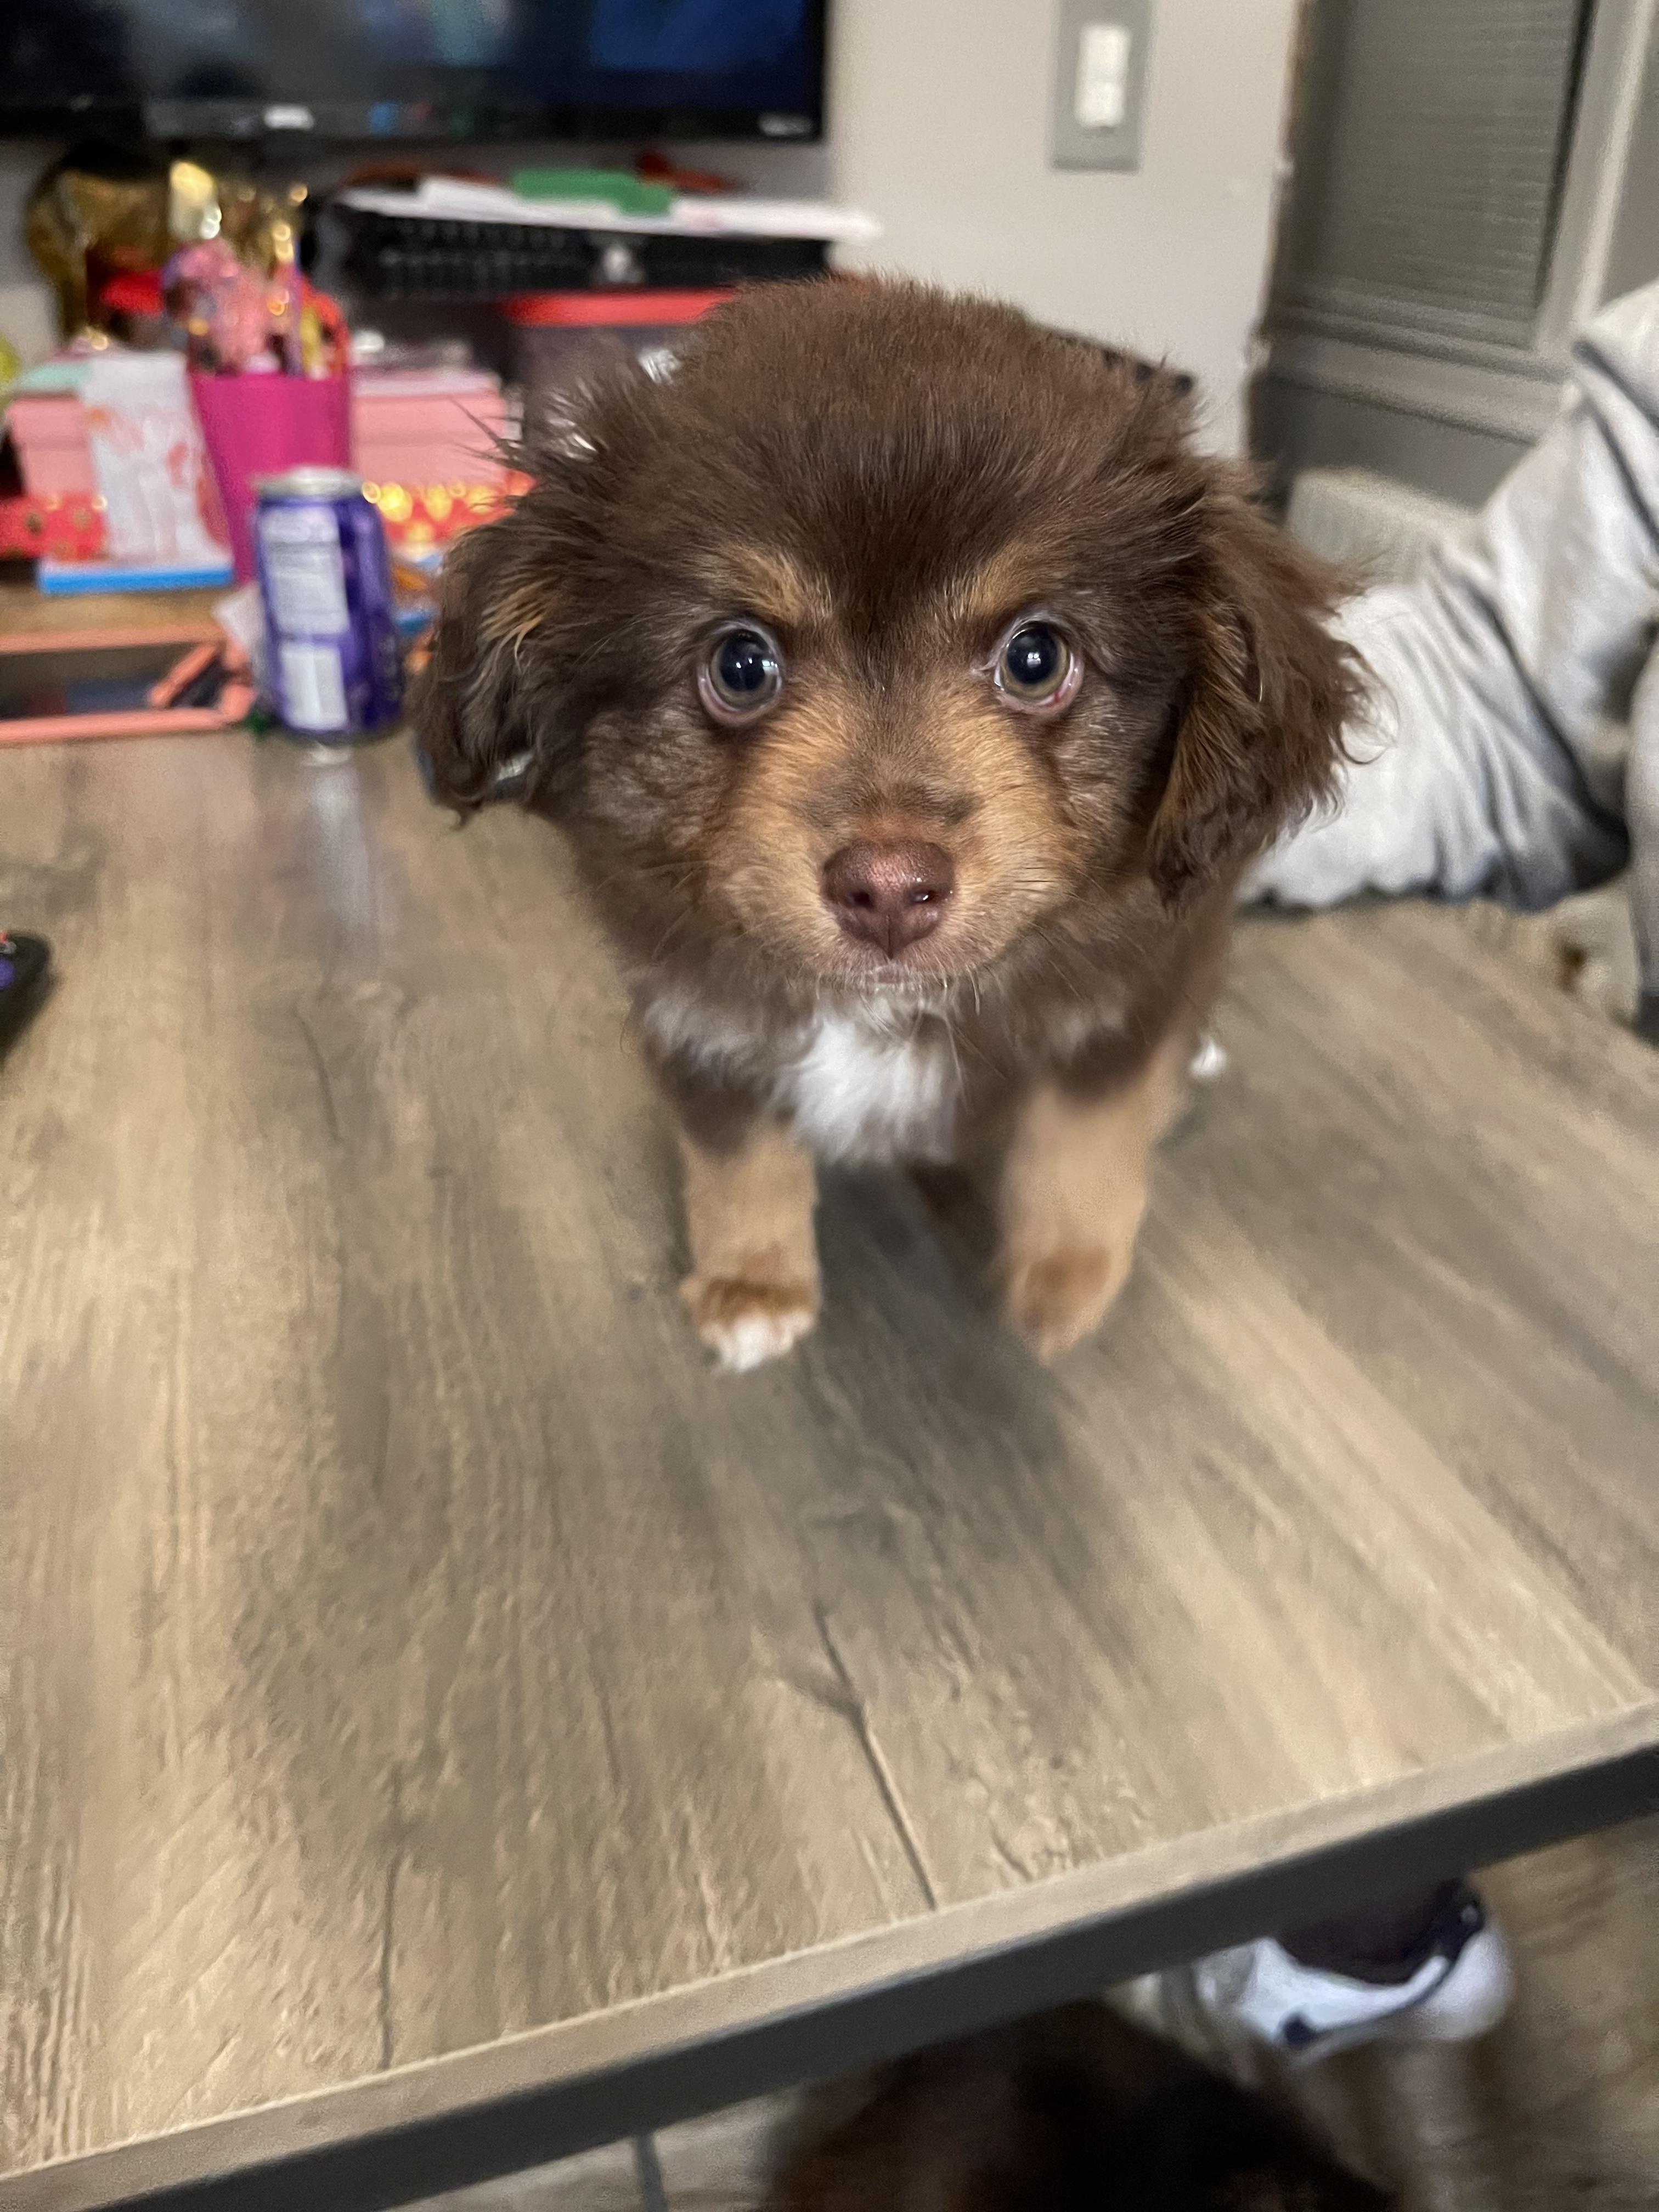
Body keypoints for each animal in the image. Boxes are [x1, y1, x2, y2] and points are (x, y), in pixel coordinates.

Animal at [416, 280, 1358, 1368]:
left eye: (1036, 657)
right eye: (740, 665)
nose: (889, 889)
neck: (883, 1009)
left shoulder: (1130, 989)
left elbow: (1084, 1133)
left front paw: (1065, 1281)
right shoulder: (695, 1019)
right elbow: (738, 1159)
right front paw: (752, 1285)